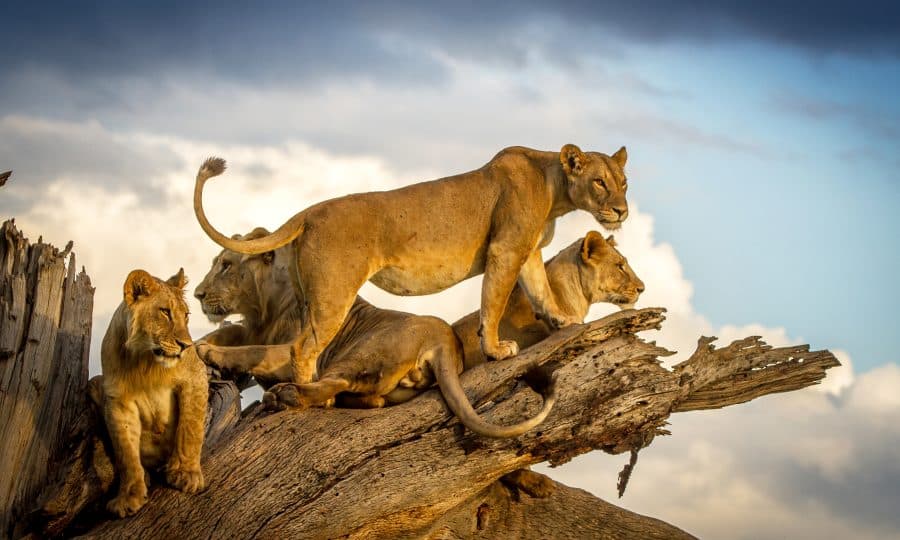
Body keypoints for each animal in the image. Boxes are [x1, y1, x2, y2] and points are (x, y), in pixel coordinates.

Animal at [98, 268, 208, 518]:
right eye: (165, 312)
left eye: (186, 315)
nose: (186, 346)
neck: (145, 362)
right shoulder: (118, 401)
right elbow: (126, 453)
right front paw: (129, 497)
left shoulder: (196, 376)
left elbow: (190, 429)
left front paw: (186, 474)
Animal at [193, 144, 630, 398]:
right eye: (599, 182)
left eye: (624, 182)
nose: (623, 211)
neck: (554, 186)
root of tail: (308, 212)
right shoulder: (505, 250)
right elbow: (493, 303)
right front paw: (495, 350)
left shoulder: (529, 252)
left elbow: (541, 292)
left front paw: (564, 320)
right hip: (334, 294)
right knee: (303, 350)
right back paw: (307, 394)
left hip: (307, 296)